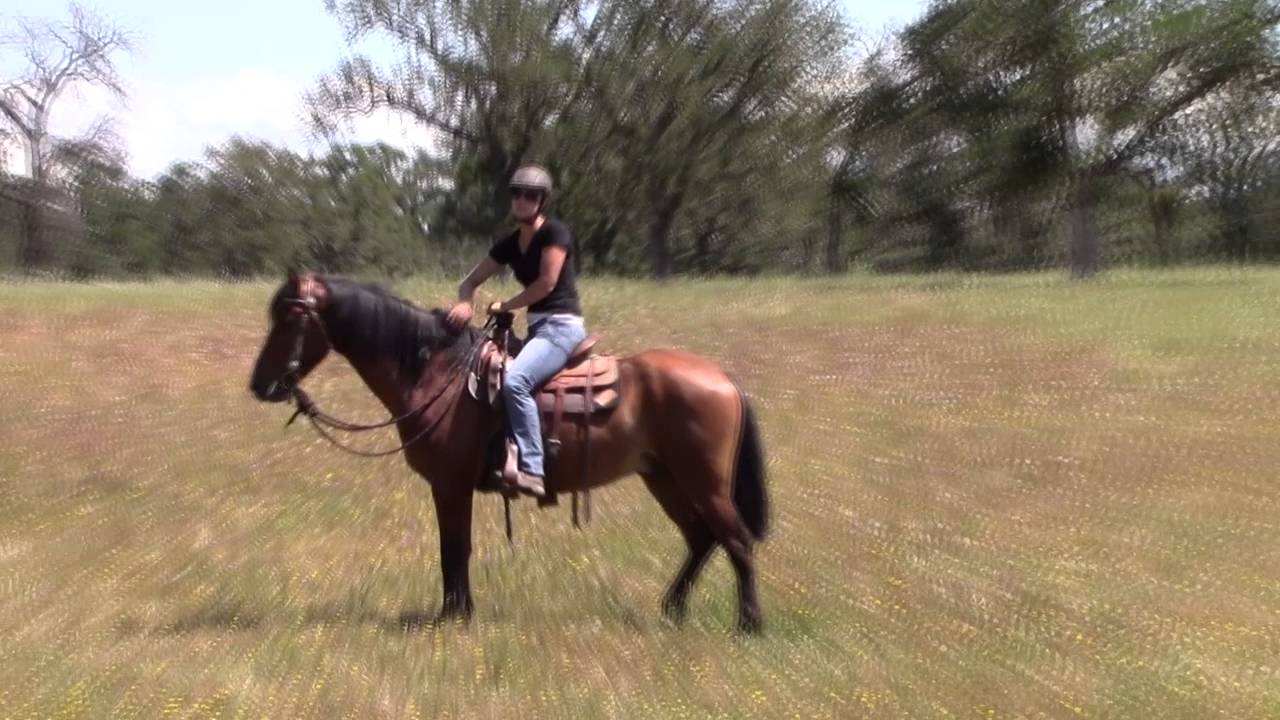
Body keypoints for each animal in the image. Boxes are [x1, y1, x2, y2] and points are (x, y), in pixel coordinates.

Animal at [247, 272, 770, 632]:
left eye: (290, 318)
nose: (260, 385)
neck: (439, 373)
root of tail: (723, 378)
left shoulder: (450, 485)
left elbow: (454, 549)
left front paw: (454, 616)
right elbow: (454, 549)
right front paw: (458, 611)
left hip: (702, 481)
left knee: (735, 539)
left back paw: (749, 624)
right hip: (663, 476)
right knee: (701, 538)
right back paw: (672, 609)